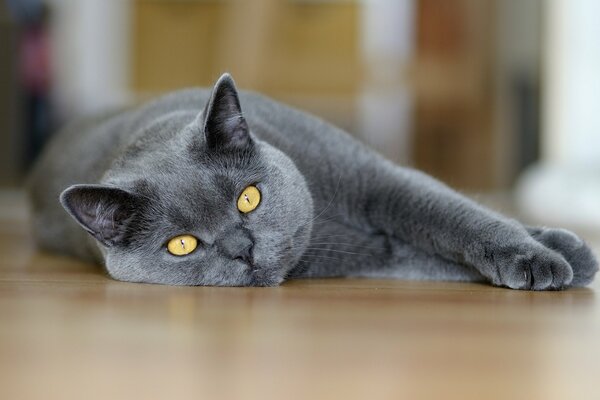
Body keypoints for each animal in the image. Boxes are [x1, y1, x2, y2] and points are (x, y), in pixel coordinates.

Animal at [29, 73, 600, 290]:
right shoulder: (369, 254)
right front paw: (552, 261)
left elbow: (457, 216)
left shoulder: (381, 181)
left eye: (249, 198)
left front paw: (556, 251)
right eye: (182, 245)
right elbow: (434, 251)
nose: (242, 247)